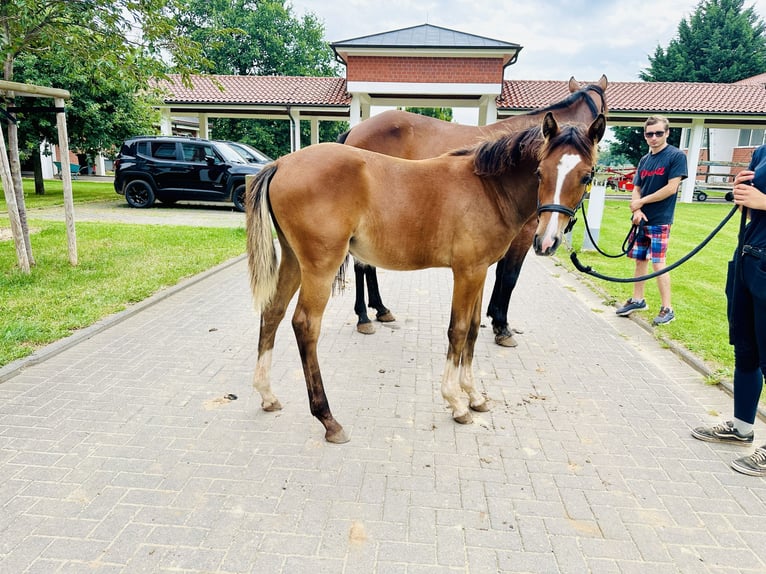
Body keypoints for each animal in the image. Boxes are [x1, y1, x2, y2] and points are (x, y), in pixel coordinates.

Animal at [246, 113, 608, 446]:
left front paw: (474, 396)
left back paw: (267, 395)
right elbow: (458, 330)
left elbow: (473, 329)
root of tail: (280, 164)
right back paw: (328, 419)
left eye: (586, 176)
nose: (546, 242)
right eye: (540, 172)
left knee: (273, 312)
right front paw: (456, 403)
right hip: (320, 267)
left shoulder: (480, 271)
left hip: (294, 261)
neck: (488, 189)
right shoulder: (467, 272)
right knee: (305, 325)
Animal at [340, 75, 608, 346]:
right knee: (360, 265)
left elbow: (499, 274)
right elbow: (509, 276)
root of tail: (356, 129)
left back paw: (380, 308)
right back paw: (363, 316)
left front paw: (493, 317)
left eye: (587, 176)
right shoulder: (526, 232)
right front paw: (502, 325)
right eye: (540, 173)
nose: (549, 242)